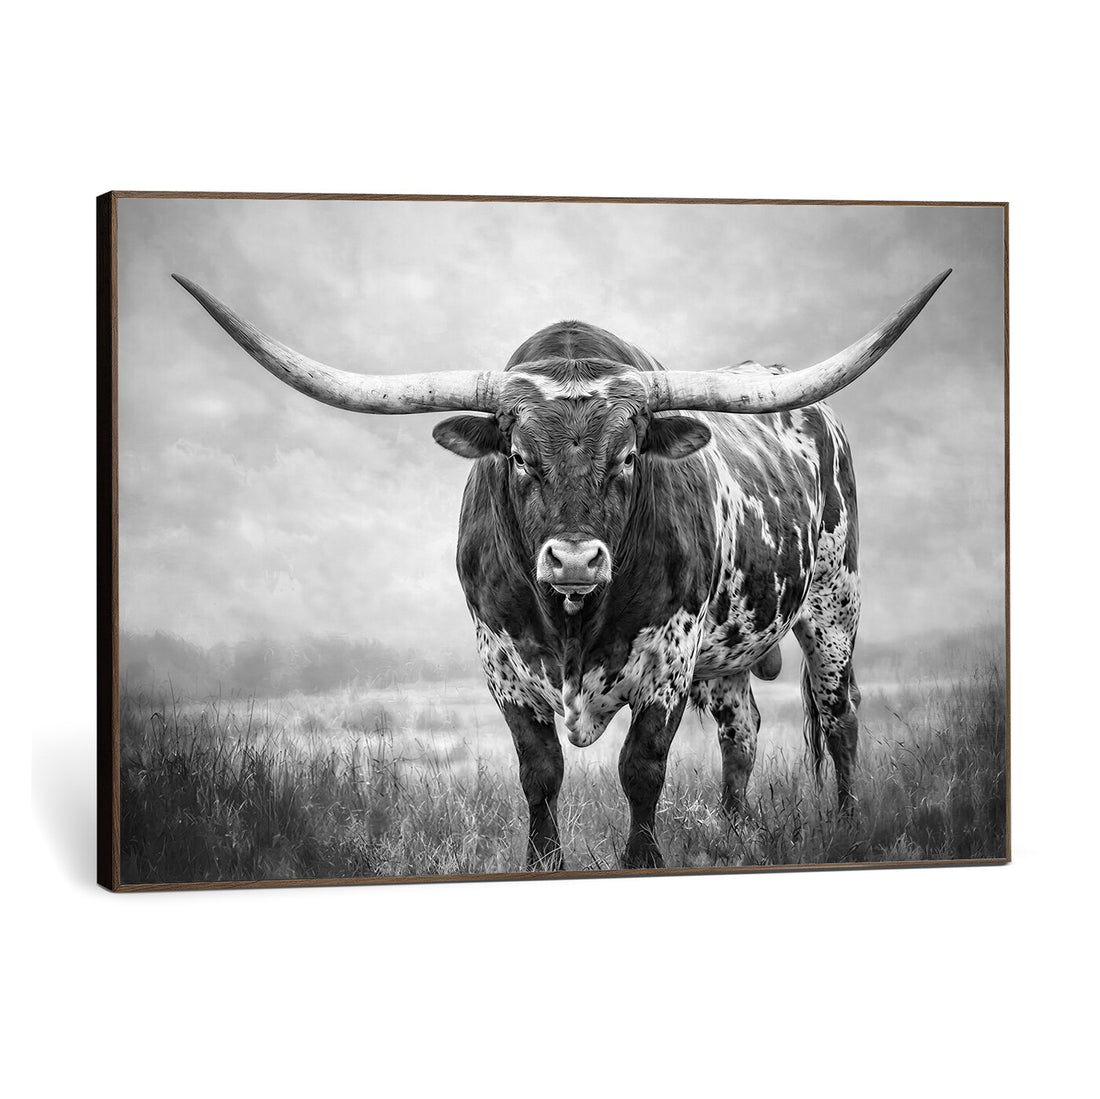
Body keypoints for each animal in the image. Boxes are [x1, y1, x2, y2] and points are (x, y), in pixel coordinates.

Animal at [174, 268, 950, 870]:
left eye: (629, 456)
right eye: (519, 456)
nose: (575, 558)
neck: (574, 620)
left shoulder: (669, 662)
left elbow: (642, 769)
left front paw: (643, 859)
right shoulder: (503, 666)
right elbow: (540, 774)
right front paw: (542, 862)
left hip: (834, 608)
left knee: (839, 717)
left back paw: (845, 825)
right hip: (729, 653)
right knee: (744, 731)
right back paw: (735, 832)